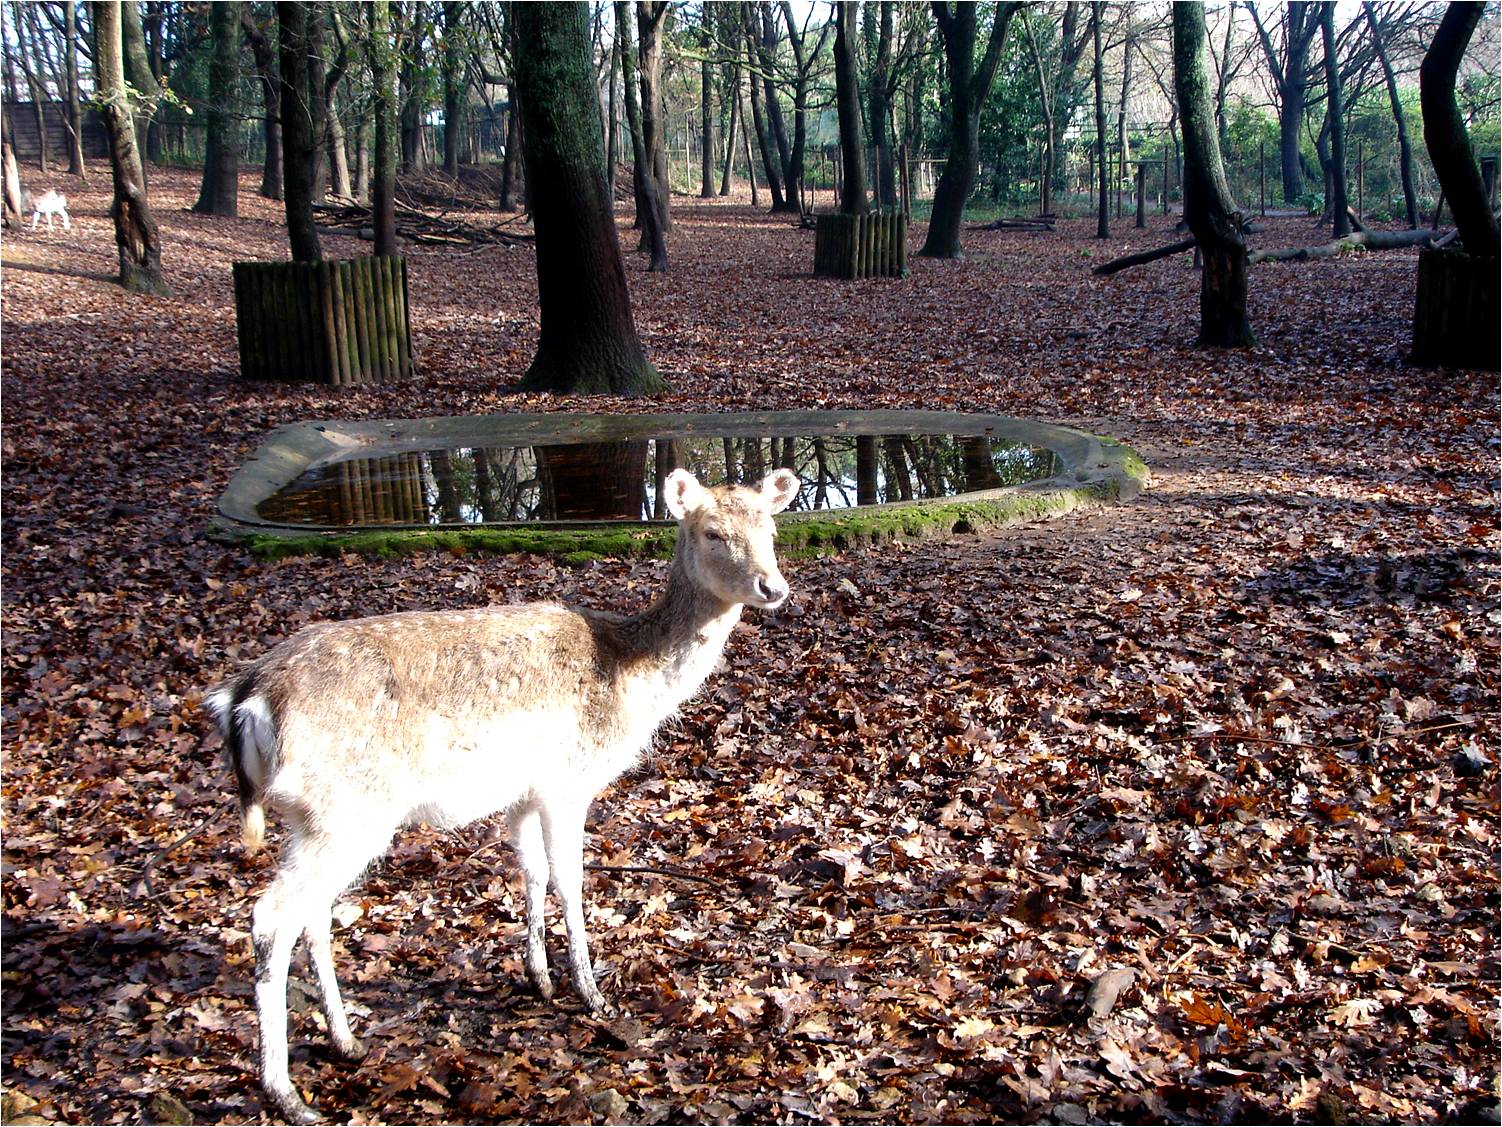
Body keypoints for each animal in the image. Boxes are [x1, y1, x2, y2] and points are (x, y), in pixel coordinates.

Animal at [207, 467, 799, 1124]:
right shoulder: (569, 778)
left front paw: (538, 978)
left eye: (771, 529)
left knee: (311, 914)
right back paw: (284, 1092)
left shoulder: (524, 792)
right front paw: (591, 992)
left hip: (307, 815)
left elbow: (532, 872)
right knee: (270, 917)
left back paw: (346, 1041)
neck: (631, 681)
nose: (773, 587)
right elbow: (569, 879)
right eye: (712, 531)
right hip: (349, 806)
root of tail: (245, 699)